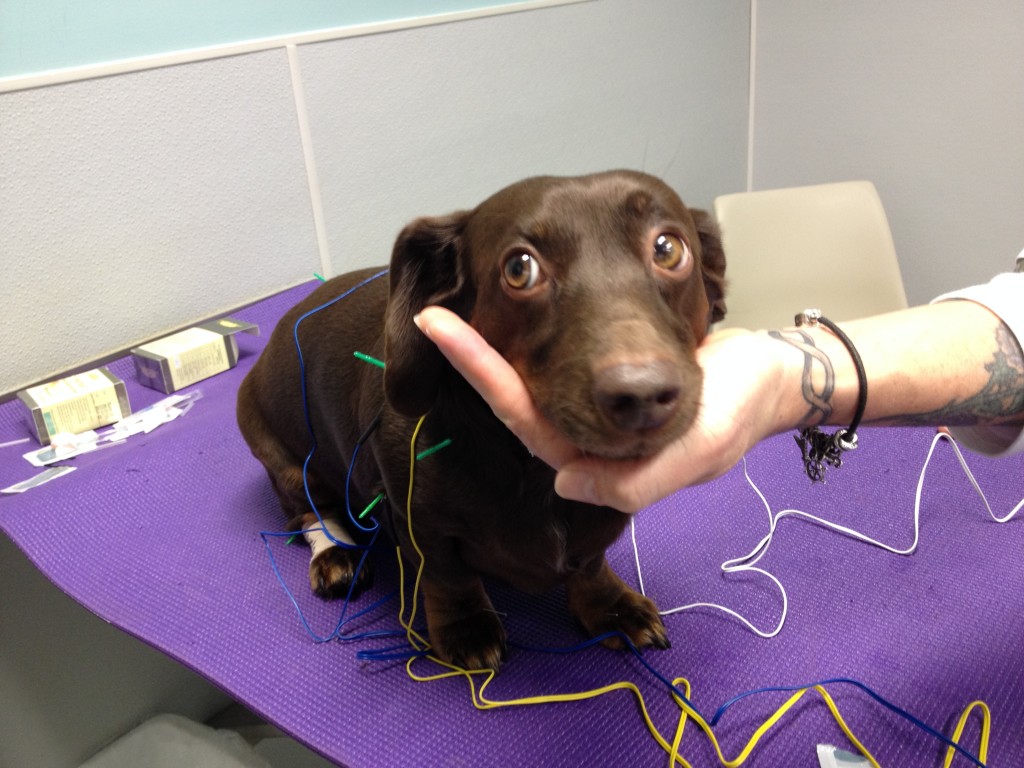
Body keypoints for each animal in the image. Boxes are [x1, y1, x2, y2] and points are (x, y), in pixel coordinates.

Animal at [235, 171, 724, 671]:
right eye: (520, 269)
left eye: (668, 248)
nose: (642, 394)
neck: (534, 470)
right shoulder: (417, 523)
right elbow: (448, 576)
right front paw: (466, 627)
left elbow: (589, 565)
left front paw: (609, 606)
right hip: (280, 457)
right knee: (308, 511)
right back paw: (334, 552)